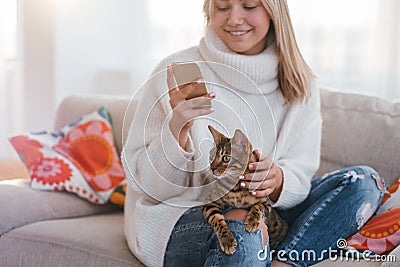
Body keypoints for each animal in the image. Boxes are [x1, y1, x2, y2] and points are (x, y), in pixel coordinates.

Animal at [203, 125, 288, 255]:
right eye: (212, 156)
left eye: (226, 158)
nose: (212, 168)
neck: (236, 189)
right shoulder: (210, 203)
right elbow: (217, 219)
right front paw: (227, 240)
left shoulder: (266, 204)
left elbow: (258, 207)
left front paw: (252, 221)